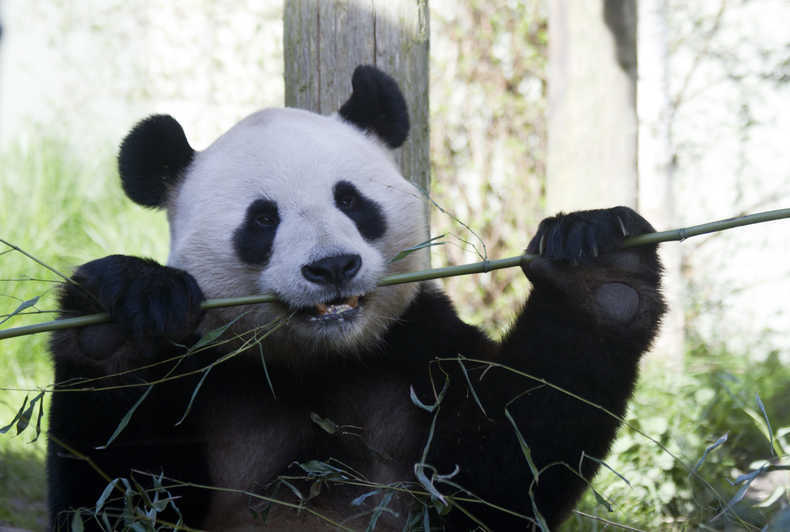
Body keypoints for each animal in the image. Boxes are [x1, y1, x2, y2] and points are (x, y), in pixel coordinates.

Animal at [48, 64, 668, 528]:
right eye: (263, 219)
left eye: (350, 200)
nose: (332, 267)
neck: (321, 361)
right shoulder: (208, 374)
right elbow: (120, 494)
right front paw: (120, 317)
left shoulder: (418, 355)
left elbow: (503, 474)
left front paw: (598, 268)